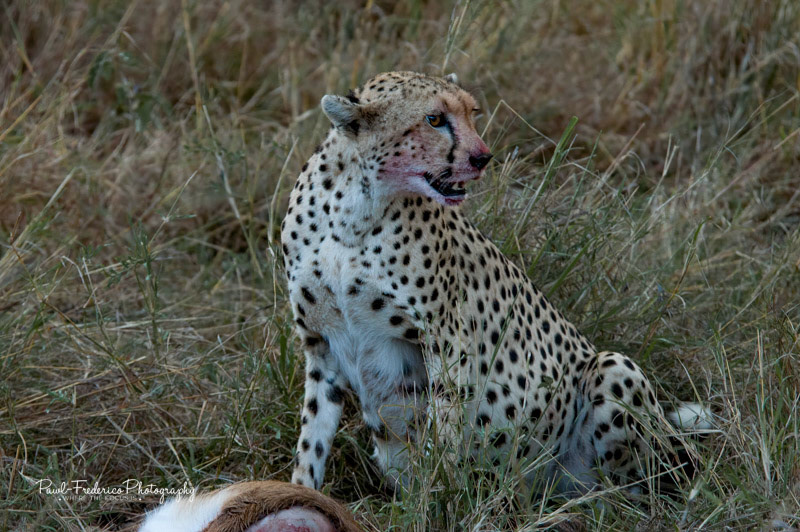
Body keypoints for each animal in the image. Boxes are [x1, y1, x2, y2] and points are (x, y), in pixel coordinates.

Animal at [280, 71, 710, 496]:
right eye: (434, 119)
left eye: (472, 114)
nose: (482, 157)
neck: (354, 209)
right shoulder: (322, 346)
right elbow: (311, 440)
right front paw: (299, 493)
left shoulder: (446, 340)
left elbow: (444, 435)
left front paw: (438, 502)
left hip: (613, 369)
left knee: (646, 485)